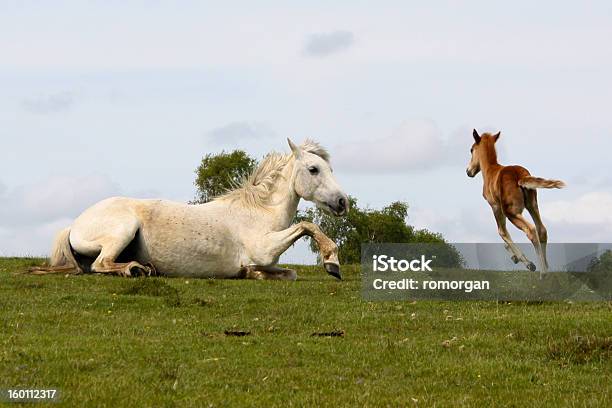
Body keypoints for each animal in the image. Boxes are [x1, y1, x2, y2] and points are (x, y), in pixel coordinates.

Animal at [29, 140, 350, 280]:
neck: (258, 213)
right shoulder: (264, 249)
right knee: (102, 264)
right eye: (313, 169)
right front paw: (332, 261)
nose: (342, 202)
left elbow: (288, 273)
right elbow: (308, 225)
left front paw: (251, 274)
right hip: (123, 229)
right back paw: (136, 269)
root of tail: (73, 225)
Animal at [468, 130, 564, 278]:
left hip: (511, 212)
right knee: (541, 229)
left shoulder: (495, 206)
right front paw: (515, 257)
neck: (490, 169)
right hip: (532, 205)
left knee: (531, 230)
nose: (469, 171)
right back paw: (547, 269)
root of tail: (520, 176)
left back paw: (541, 272)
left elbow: (502, 232)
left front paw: (526, 262)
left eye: (471, 150)